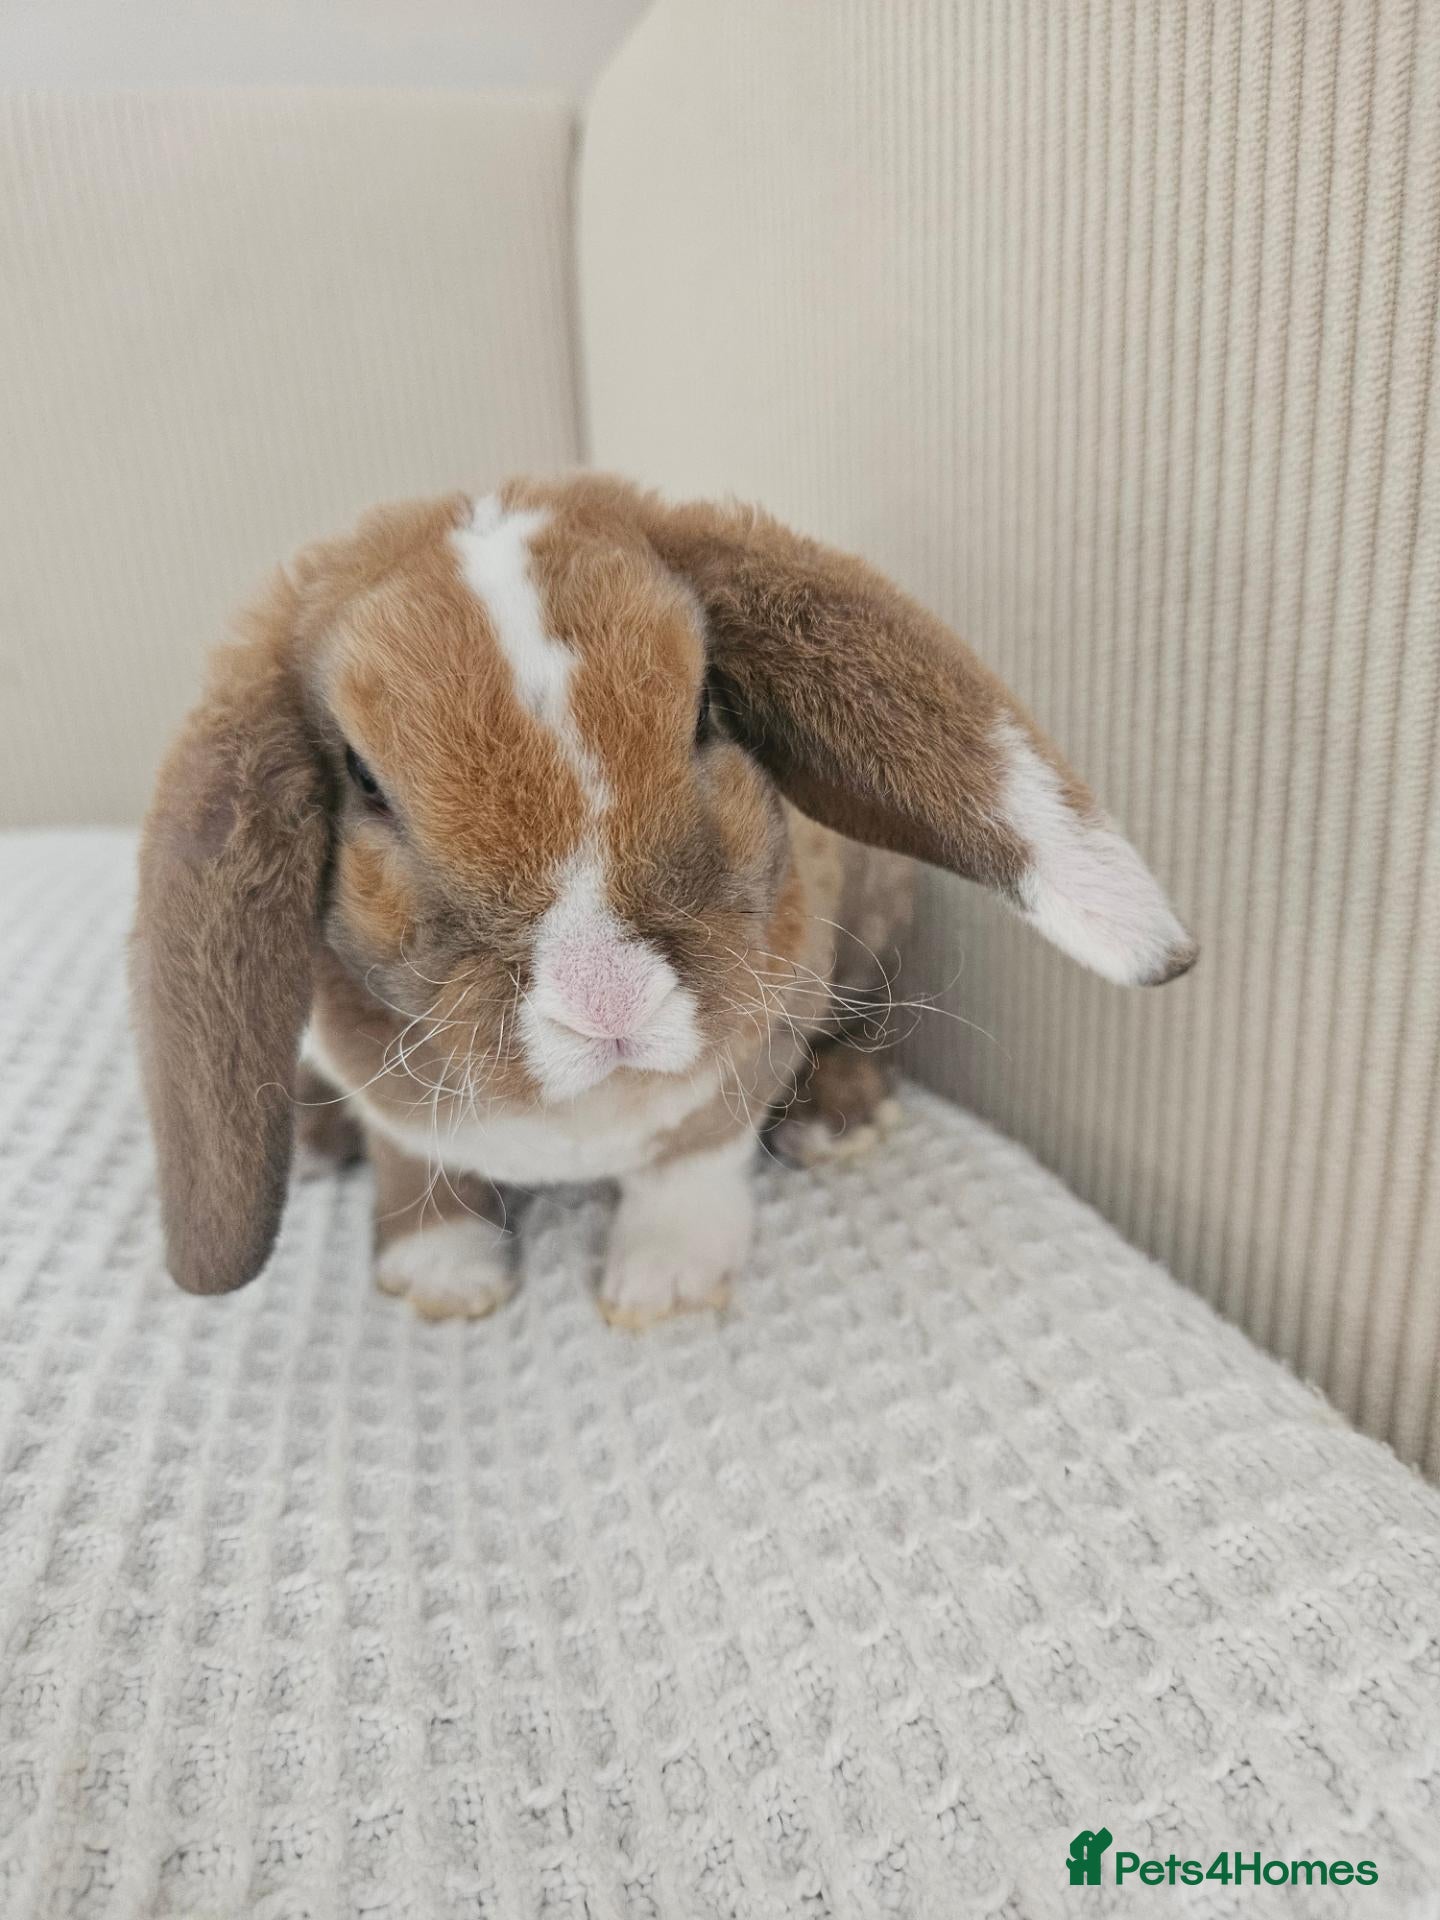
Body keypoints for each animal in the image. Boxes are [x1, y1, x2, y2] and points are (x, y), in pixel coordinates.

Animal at [131, 474, 1196, 1326]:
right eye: (364, 779)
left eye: (704, 712)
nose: (609, 1000)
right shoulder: (400, 1115)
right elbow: (411, 1163)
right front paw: (442, 1279)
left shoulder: (751, 1050)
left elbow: (693, 1156)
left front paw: (665, 1287)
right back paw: (312, 1137)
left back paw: (838, 1122)